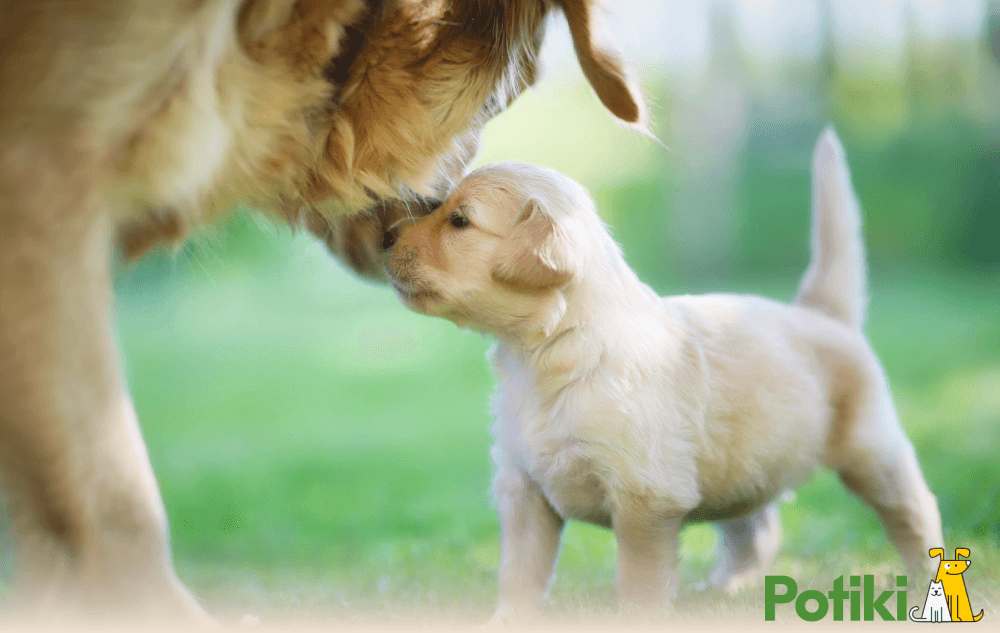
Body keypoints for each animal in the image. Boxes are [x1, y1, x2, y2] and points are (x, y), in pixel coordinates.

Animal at [382, 130, 944, 624]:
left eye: (460, 221)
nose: (385, 237)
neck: (549, 353)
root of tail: (821, 313)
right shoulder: (523, 488)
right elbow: (520, 573)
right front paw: (507, 620)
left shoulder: (645, 500)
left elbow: (638, 582)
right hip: (741, 466)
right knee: (757, 529)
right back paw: (722, 591)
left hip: (871, 450)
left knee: (916, 514)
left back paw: (925, 589)